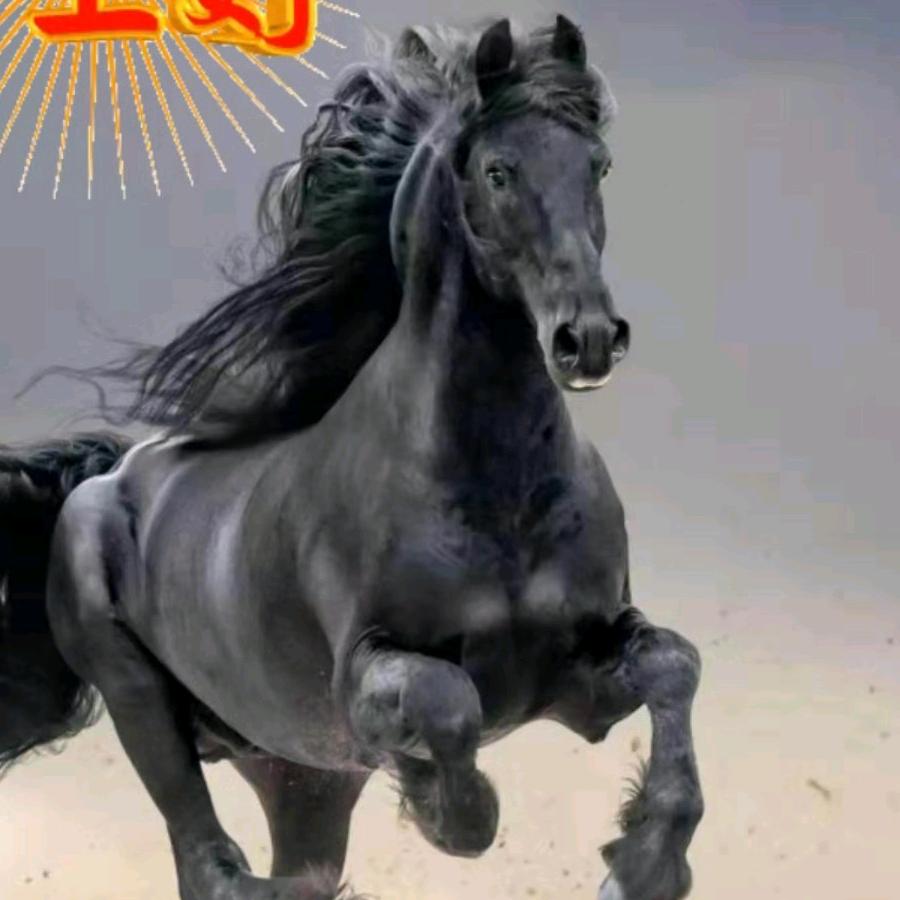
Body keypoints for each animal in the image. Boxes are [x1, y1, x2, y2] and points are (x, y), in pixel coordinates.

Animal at [0, 16, 704, 900]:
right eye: (499, 171)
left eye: (598, 165)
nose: (590, 338)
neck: (498, 498)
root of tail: (100, 479)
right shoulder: (363, 681)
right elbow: (447, 703)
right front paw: (442, 804)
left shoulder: (578, 679)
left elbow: (675, 663)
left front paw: (646, 862)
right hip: (142, 702)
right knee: (207, 858)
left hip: (300, 777)